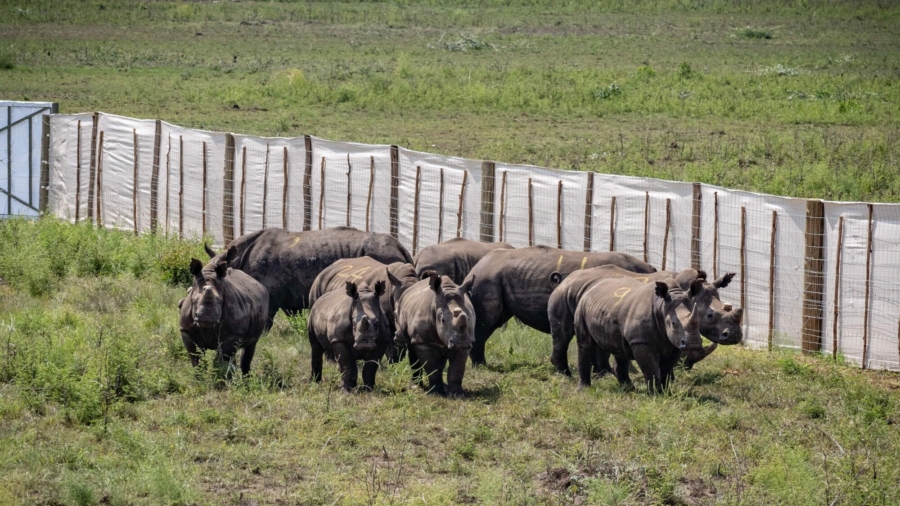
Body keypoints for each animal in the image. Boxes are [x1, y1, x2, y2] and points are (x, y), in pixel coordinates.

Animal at [464, 245, 656, 366]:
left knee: (494, 321)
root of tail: (474, 269)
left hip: (493, 277)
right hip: (486, 278)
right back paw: (481, 365)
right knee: (486, 323)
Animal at [548, 265, 742, 376]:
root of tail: (567, 279)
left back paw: (603, 374)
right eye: (710, 316)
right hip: (564, 294)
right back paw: (565, 375)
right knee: (563, 335)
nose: (734, 336)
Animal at [574, 276, 703, 392]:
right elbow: (651, 369)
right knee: (585, 345)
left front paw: (667, 393)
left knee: (619, 349)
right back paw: (583, 390)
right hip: (582, 306)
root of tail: (591, 287)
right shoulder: (640, 341)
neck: (661, 306)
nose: (693, 344)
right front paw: (656, 395)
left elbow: (666, 369)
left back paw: (629, 389)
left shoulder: (675, 343)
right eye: (673, 323)